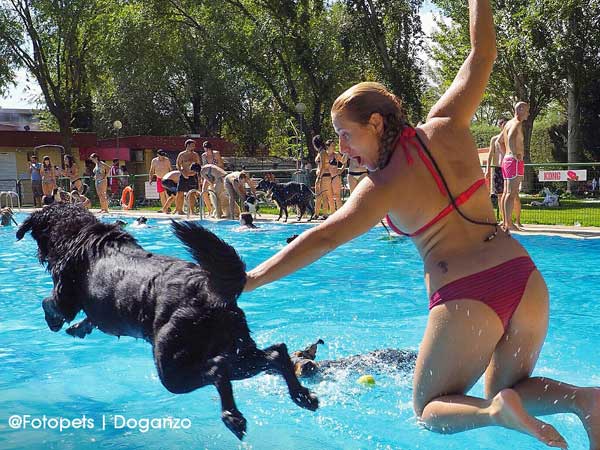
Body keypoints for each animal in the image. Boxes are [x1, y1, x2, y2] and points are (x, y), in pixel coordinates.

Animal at [15, 204, 318, 440]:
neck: (77, 232)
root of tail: (209, 290)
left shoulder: (66, 295)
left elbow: (49, 303)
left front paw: (56, 321)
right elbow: (88, 318)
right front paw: (80, 328)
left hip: (172, 366)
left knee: (218, 368)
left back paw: (232, 416)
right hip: (236, 350)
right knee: (275, 353)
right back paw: (302, 395)